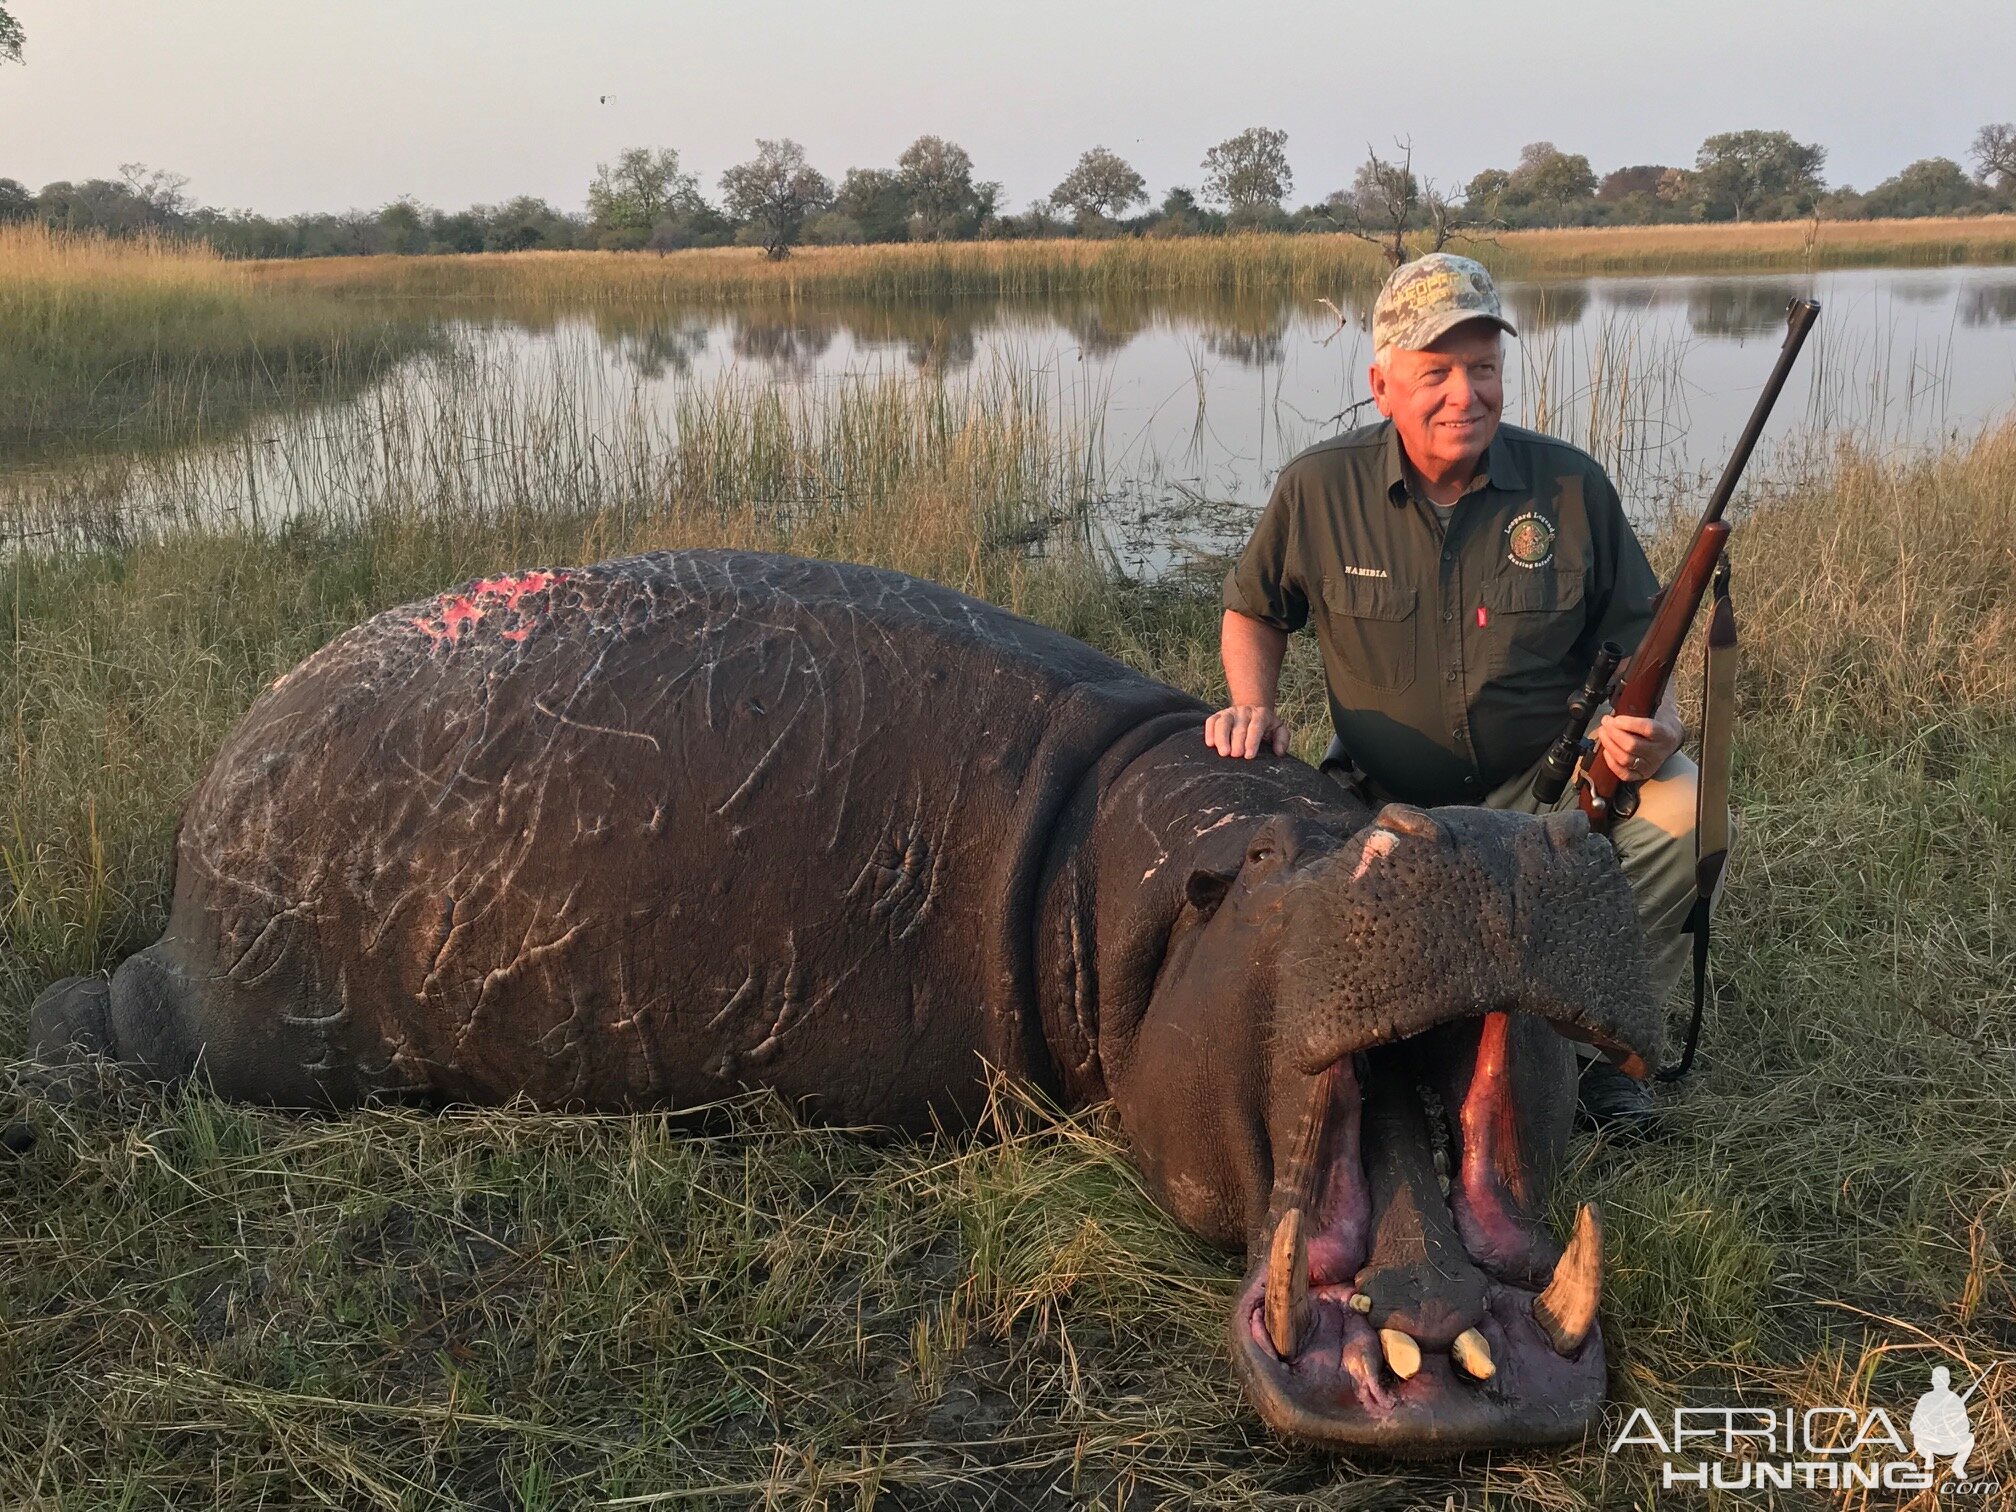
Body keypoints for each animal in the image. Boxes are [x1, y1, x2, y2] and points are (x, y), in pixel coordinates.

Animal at [27, 552, 1653, 1459]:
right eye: (1252, 873)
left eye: (1362, 803)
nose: (1486, 838)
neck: (1146, 870)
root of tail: (193, 842)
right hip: (236, 1014)